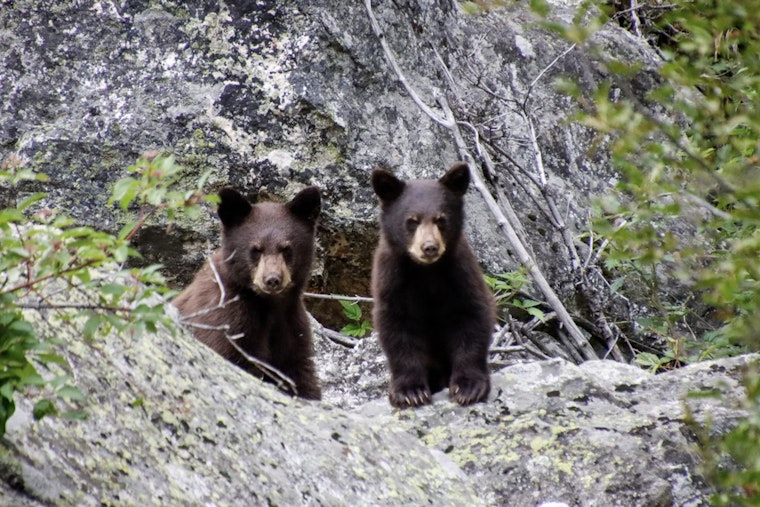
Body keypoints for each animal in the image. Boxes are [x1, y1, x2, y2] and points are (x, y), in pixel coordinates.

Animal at [172, 186, 322, 400]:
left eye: (286, 248)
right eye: (256, 249)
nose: (272, 279)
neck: (270, 305)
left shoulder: (292, 324)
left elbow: (299, 372)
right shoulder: (226, 318)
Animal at [370, 162, 496, 408]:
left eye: (441, 219)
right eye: (412, 221)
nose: (429, 247)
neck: (426, 272)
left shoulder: (460, 275)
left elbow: (472, 319)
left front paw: (469, 386)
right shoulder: (393, 281)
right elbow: (397, 329)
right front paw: (409, 391)